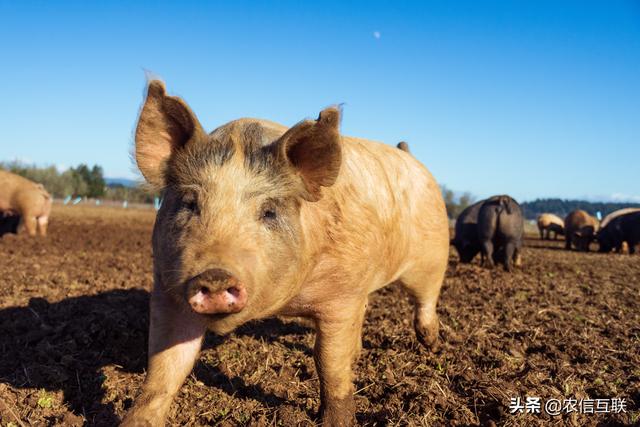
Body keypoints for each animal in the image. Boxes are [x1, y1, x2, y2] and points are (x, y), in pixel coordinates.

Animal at [121, 81, 450, 427]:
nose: (215, 274)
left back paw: (431, 344)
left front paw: (335, 421)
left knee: (425, 299)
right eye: (189, 203)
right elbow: (165, 368)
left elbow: (328, 363)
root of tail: (409, 154)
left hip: (432, 254)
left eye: (269, 212)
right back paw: (360, 353)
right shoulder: (167, 289)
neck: (284, 305)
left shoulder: (341, 295)